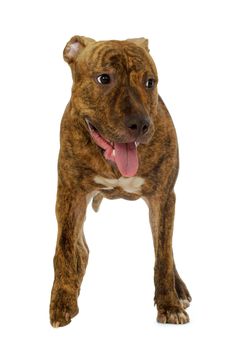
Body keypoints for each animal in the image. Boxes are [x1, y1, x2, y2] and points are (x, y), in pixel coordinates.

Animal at [49, 34, 191, 326]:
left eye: (150, 82)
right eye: (104, 78)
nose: (140, 124)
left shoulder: (163, 197)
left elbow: (163, 254)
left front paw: (169, 305)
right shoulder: (70, 195)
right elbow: (65, 249)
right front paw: (62, 302)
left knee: (166, 248)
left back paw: (178, 288)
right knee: (80, 247)